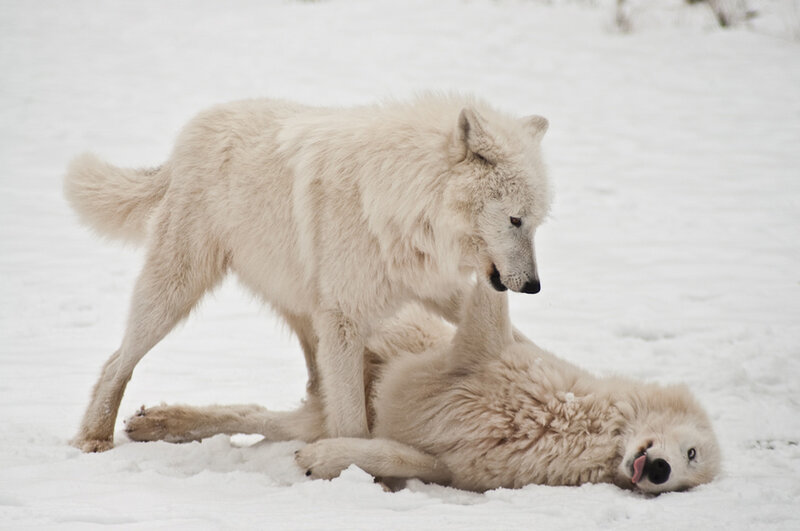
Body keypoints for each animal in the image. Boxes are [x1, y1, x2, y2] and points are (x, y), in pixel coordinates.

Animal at [64, 94, 551, 452]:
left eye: (535, 223)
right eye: (514, 220)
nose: (533, 286)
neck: (397, 203)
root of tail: (188, 135)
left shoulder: (436, 291)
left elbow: (516, 338)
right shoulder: (343, 317)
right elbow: (352, 420)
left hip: (298, 307)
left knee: (314, 389)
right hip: (175, 292)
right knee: (116, 362)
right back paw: (93, 438)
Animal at [125, 280, 721, 494]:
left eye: (687, 471)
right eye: (691, 451)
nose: (660, 471)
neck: (571, 426)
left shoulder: (450, 469)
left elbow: (384, 455)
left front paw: (323, 461)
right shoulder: (475, 352)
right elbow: (493, 303)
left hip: (311, 405)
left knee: (252, 414)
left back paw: (156, 423)